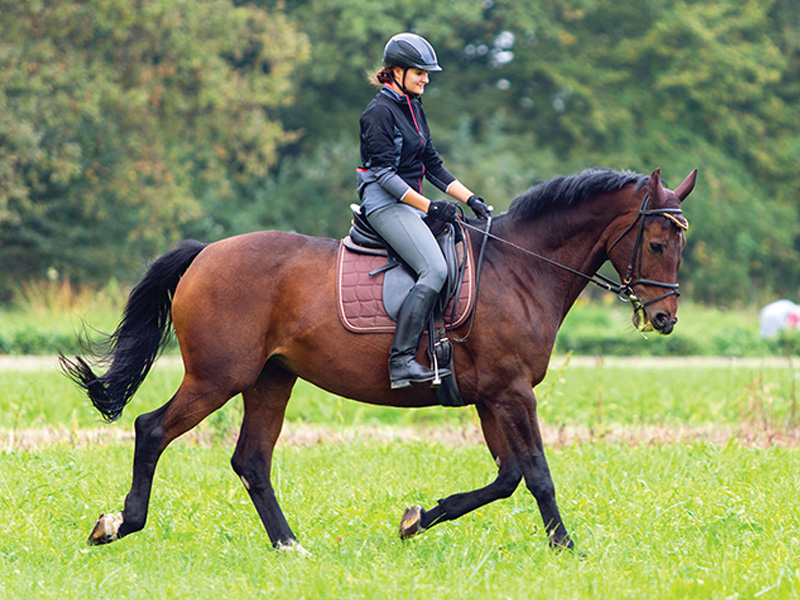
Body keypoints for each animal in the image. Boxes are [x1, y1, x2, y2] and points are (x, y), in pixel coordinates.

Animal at [61, 166, 697, 553]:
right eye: (656, 243)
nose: (665, 318)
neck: (520, 268)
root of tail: (205, 253)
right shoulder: (513, 392)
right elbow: (537, 474)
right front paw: (565, 547)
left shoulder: (492, 397)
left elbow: (508, 476)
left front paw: (419, 518)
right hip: (219, 377)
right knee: (152, 429)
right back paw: (118, 524)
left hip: (270, 380)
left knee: (251, 461)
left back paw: (290, 546)